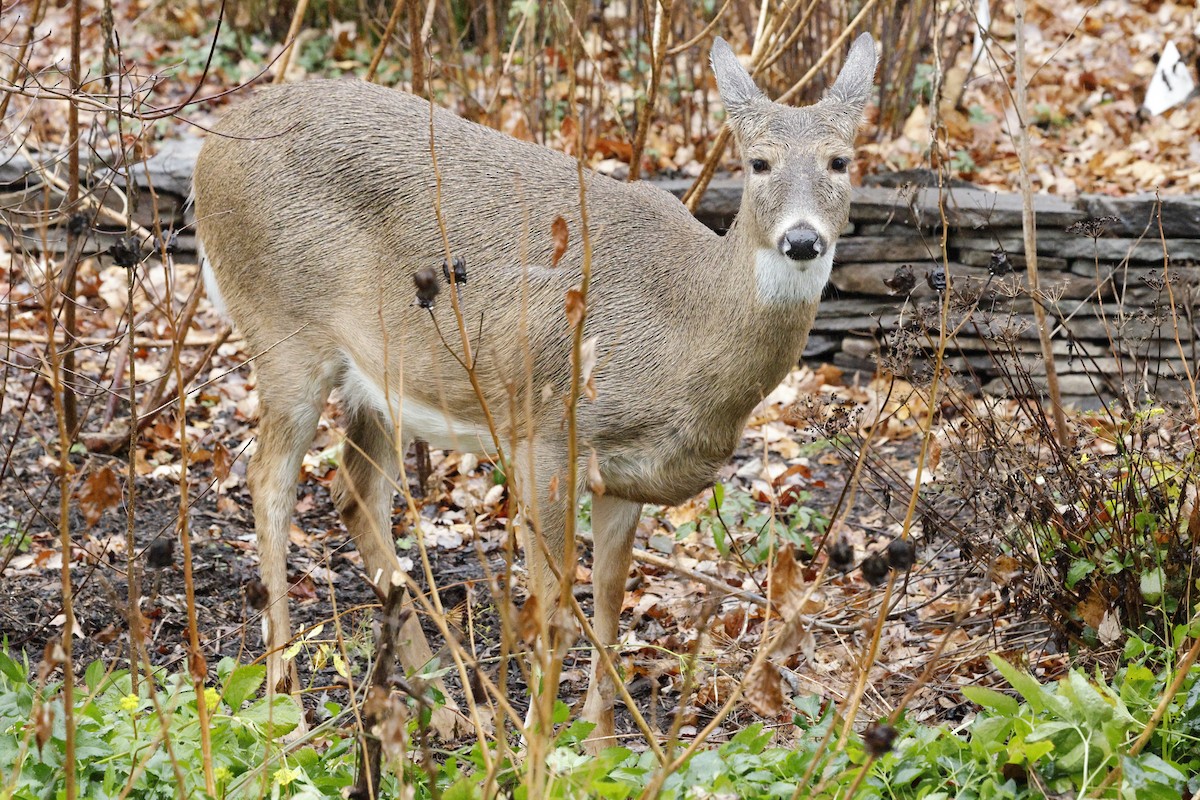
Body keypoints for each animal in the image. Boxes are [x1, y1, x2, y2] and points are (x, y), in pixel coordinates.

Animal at [192, 33, 877, 748]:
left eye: (840, 160)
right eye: (759, 162)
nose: (803, 239)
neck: (688, 326)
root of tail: (210, 152)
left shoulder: (622, 475)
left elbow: (609, 597)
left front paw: (600, 743)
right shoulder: (546, 433)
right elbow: (555, 601)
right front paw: (540, 737)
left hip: (379, 375)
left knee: (354, 490)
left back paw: (447, 705)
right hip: (283, 332)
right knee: (270, 481)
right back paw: (287, 703)